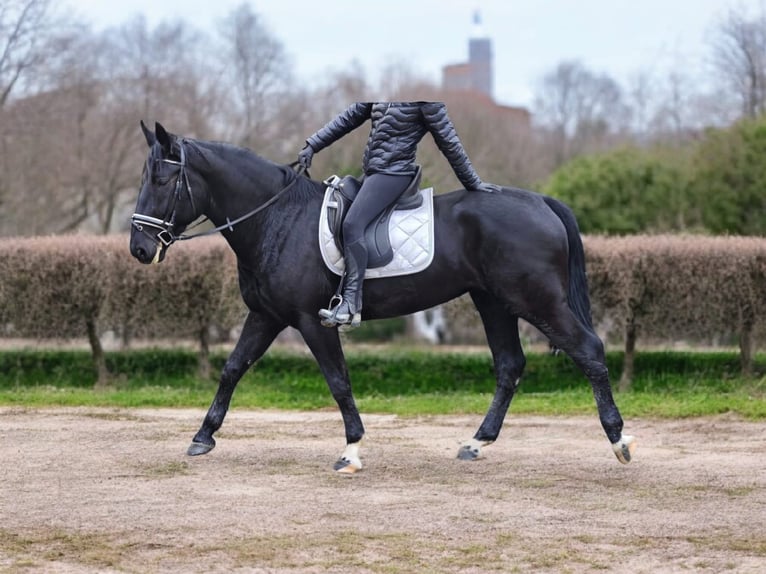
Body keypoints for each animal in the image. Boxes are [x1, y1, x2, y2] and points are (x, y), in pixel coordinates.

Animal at [129, 122, 635, 473]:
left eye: (161, 180)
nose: (139, 249)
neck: (278, 219)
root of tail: (541, 202)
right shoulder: (266, 316)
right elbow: (233, 368)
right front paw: (203, 435)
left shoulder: (311, 320)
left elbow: (338, 381)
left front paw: (351, 449)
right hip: (493, 302)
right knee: (510, 365)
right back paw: (476, 442)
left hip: (537, 299)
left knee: (589, 350)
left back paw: (619, 441)